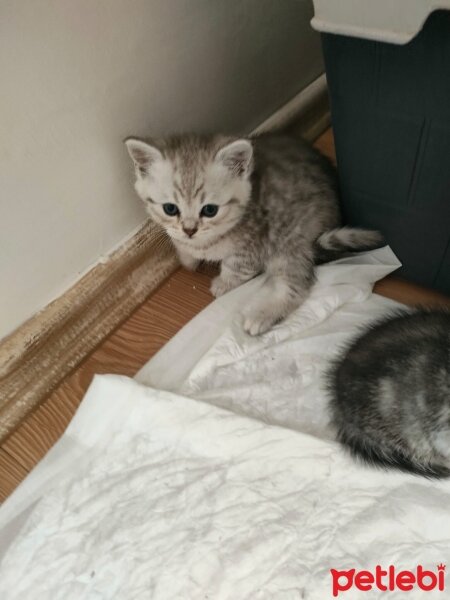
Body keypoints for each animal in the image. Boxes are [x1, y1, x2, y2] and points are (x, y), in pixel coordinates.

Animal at [125, 133, 382, 336]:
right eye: (170, 208)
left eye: (209, 210)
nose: (189, 229)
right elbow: (181, 245)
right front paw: (187, 257)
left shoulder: (255, 243)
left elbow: (237, 267)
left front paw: (224, 283)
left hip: (289, 242)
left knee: (297, 285)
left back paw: (262, 314)